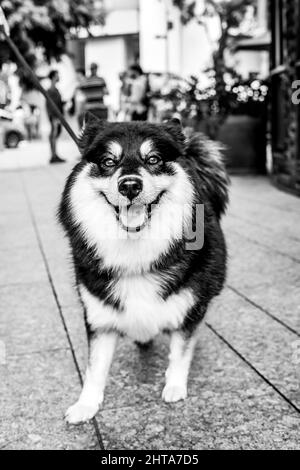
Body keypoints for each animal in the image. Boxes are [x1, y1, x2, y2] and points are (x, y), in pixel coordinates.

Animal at [58, 114, 227, 426]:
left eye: (153, 159)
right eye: (108, 161)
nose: (129, 186)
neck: (135, 256)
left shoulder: (189, 308)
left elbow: (180, 351)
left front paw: (174, 386)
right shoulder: (99, 315)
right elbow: (95, 367)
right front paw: (86, 404)